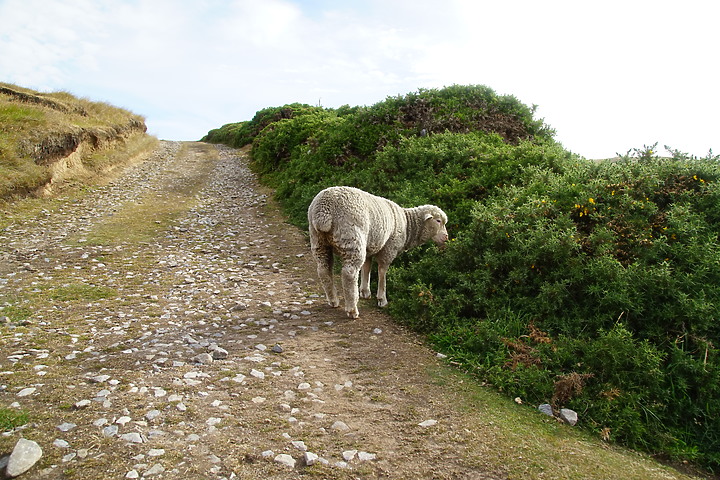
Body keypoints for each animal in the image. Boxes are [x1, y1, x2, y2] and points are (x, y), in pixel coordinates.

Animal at [306, 185, 448, 318]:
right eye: (438, 221)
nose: (446, 237)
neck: (408, 226)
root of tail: (323, 212)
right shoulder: (388, 248)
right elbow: (382, 272)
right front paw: (381, 299)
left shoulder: (370, 246)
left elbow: (367, 267)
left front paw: (365, 291)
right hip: (352, 239)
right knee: (349, 274)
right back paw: (352, 310)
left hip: (319, 241)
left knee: (324, 270)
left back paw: (333, 300)